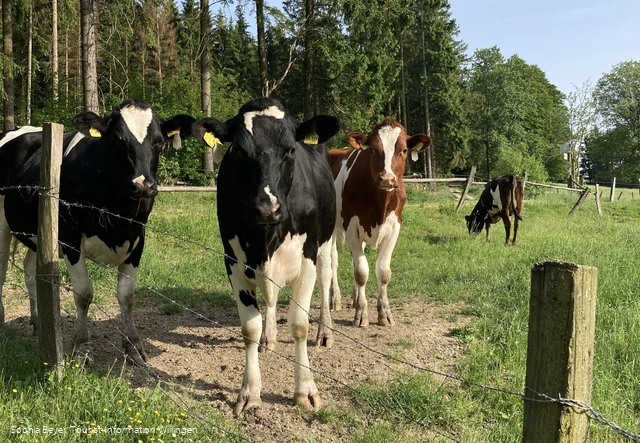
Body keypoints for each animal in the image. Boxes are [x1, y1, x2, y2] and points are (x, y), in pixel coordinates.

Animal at [0, 99, 195, 365]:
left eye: (159, 141)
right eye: (118, 139)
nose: (143, 185)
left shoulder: (138, 238)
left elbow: (126, 295)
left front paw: (133, 346)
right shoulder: (70, 239)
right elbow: (83, 293)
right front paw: (83, 346)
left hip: (37, 233)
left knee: (30, 273)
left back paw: (39, 324)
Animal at [192, 97, 340, 415]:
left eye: (292, 149)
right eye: (237, 149)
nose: (266, 209)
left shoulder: (307, 257)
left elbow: (299, 324)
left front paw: (305, 390)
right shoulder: (232, 261)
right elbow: (249, 327)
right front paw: (249, 391)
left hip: (326, 243)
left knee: (325, 280)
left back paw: (325, 332)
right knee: (270, 300)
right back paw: (268, 338)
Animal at [324, 119, 431, 329]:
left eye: (404, 150)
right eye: (372, 149)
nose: (387, 179)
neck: (380, 203)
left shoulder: (394, 227)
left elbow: (383, 271)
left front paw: (384, 313)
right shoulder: (351, 227)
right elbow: (361, 272)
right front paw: (361, 314)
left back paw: (355, 298)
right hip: (332, 225)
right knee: (333, 261)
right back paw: (335, 299)